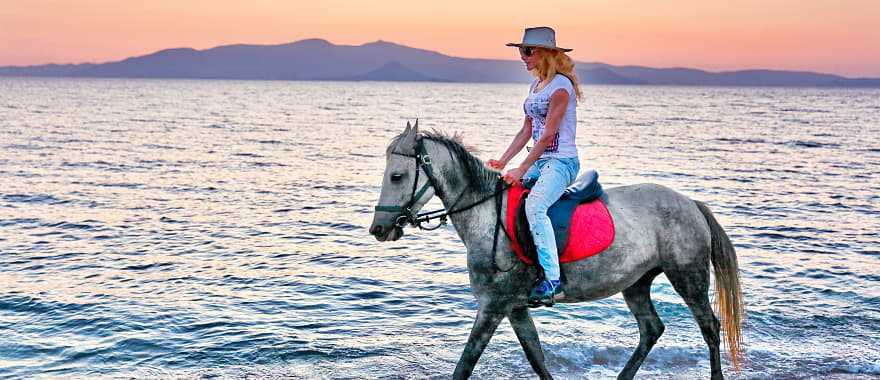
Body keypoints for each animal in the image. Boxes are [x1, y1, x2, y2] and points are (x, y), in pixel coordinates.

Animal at [370, 122, 744, 380]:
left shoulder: (493, 306)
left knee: (710, 326)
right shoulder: (515, 307)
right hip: (636, 283)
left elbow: (465, 364)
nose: (379, 229)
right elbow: (536, 356)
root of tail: (691, 204)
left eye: (397, 176)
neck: (486, 216)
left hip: (688, 276)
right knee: (652, 329)